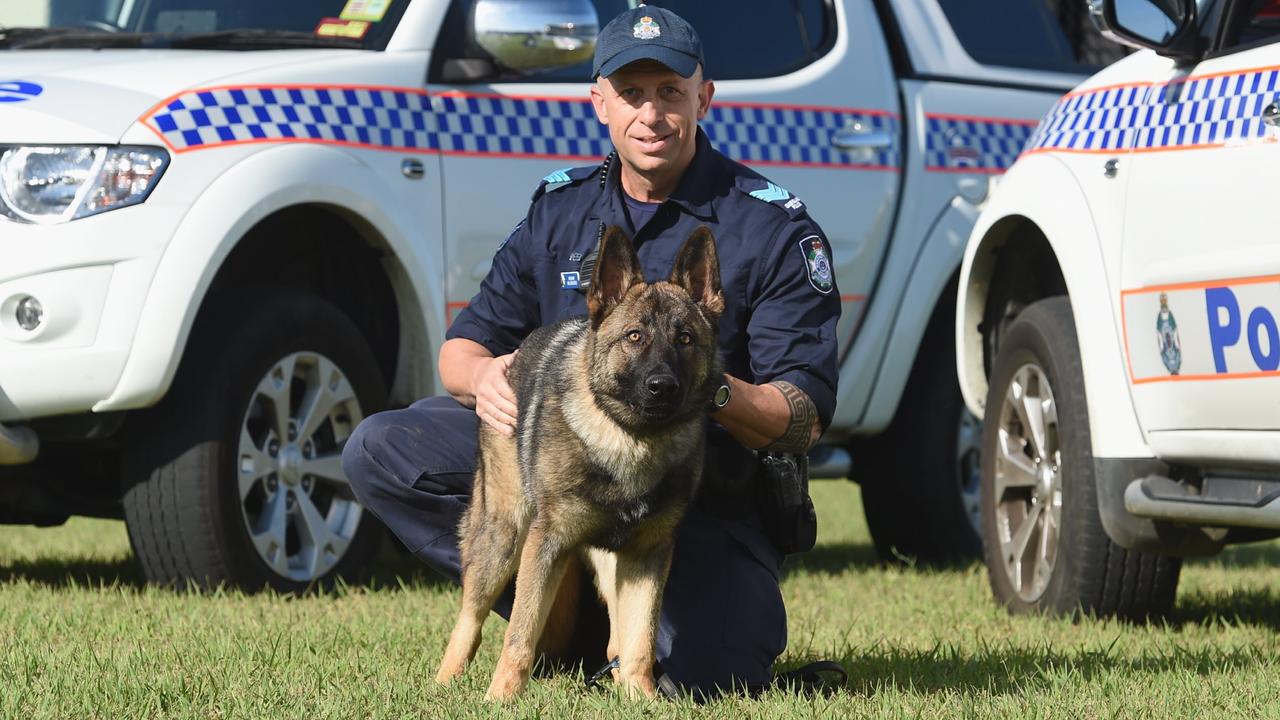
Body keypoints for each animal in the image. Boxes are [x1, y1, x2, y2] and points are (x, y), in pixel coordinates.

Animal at [437, 222, 721, 696]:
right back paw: (446, 681)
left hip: (606, 558)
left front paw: (642, 698)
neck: (631, 440)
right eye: (634, 336)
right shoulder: (546, 544)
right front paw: (501, 699)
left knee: (616, 639)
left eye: (685, 339)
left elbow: (641, 639)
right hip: (503, 539)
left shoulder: (648, 553)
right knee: (470, 616)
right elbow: (519, 635)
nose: (662, 386)